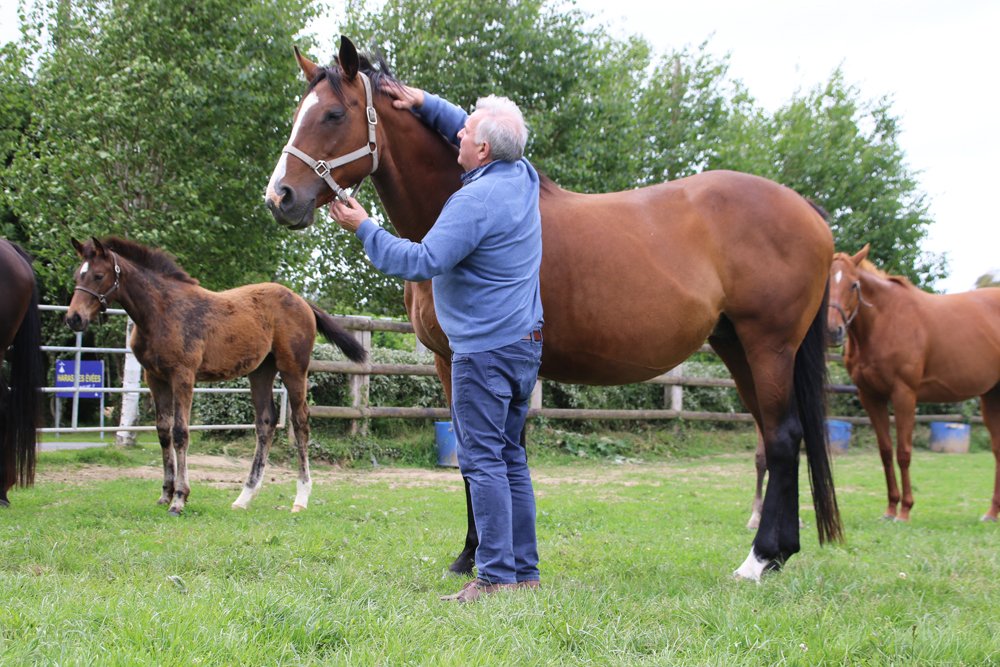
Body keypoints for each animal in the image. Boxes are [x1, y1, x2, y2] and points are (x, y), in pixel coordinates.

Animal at [65, 236, 366, 516]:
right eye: (77, 275)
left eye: (99, 275)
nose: (73, 318)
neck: (161, 311)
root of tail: (303, 301)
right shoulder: (155, 378)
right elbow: (163, 432)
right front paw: (164, 494)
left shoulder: (183, 375)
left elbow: (180, 433)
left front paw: (179, 499)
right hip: (261, 370)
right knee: (265, 422)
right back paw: (244, 497)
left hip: (294, 368)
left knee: (301, 421)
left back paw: (300, 498)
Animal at [264, 37, 842, 580]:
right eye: (297, 114)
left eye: (333, 115)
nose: (280, 197)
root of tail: (806, 209)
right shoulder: (450, 362)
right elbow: (471, 457)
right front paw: (469, 556)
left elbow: (495, 450)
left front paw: (486, 558)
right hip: (736, 346)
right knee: (777, 436)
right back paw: (779, 553)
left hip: (769, 345)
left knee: (783, 438)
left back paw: (758, 560)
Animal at [828, 245, 1000, 522]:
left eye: (854, 284)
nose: (833, 331)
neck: (884, 321)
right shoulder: (870, 396)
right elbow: (886, 452)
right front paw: (890, 508)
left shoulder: (904, 395)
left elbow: (904, 452)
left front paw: (905, 510)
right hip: (991, 396)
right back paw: (992, 512)